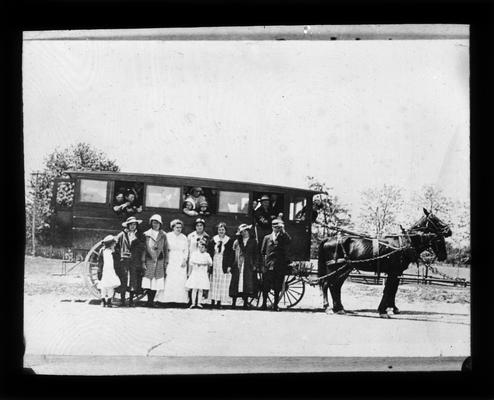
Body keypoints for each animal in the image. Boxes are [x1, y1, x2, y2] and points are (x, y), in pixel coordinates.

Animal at [318, 209, 454, 318]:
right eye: (435, 219)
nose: (449, 230)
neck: (405, 243)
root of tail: (328, 239)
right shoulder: (393, 272)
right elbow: (389, 290)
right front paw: (383, 311)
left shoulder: (397, 273)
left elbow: (393, 290)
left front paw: (392, 308)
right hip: (334, 268)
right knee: (327, 284)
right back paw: (328, 307)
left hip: (344, 269)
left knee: (335, 286)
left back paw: (339, 308)